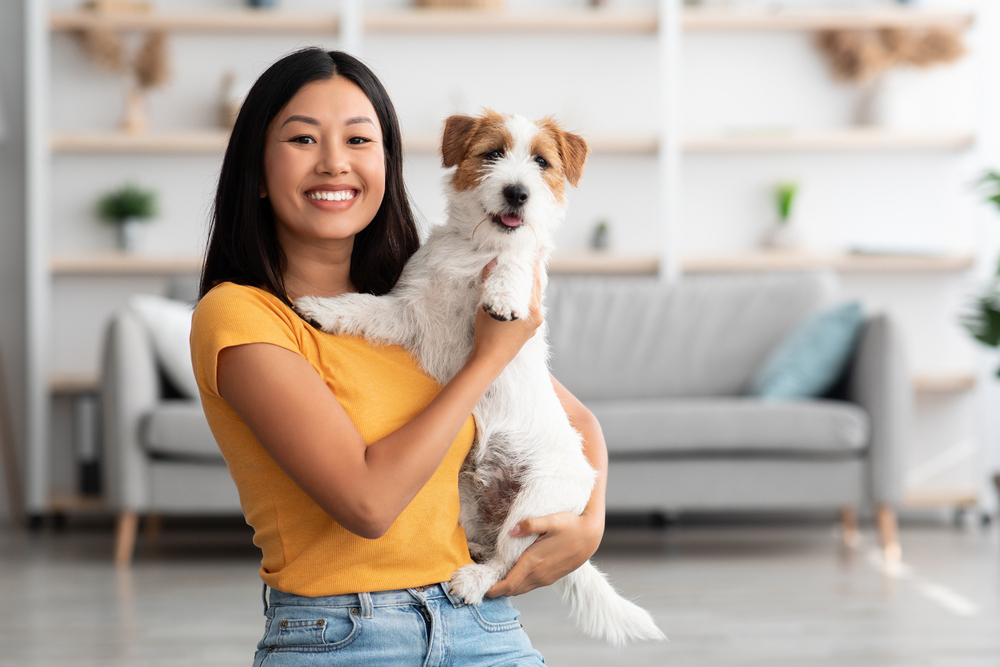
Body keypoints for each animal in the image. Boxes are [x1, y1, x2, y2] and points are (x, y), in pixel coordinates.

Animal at [294, 111, 664, 648]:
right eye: (492, 153)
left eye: (541, 163)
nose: (517, 192)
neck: (477, 248)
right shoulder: (408, 312)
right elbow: (363, 305)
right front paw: (319, 307)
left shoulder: (526, 267)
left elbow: (518, 258)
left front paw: (502, 297)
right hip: (465, 497)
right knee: (488, 547)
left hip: (535, 503)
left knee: (506, 561)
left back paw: (472, 580)